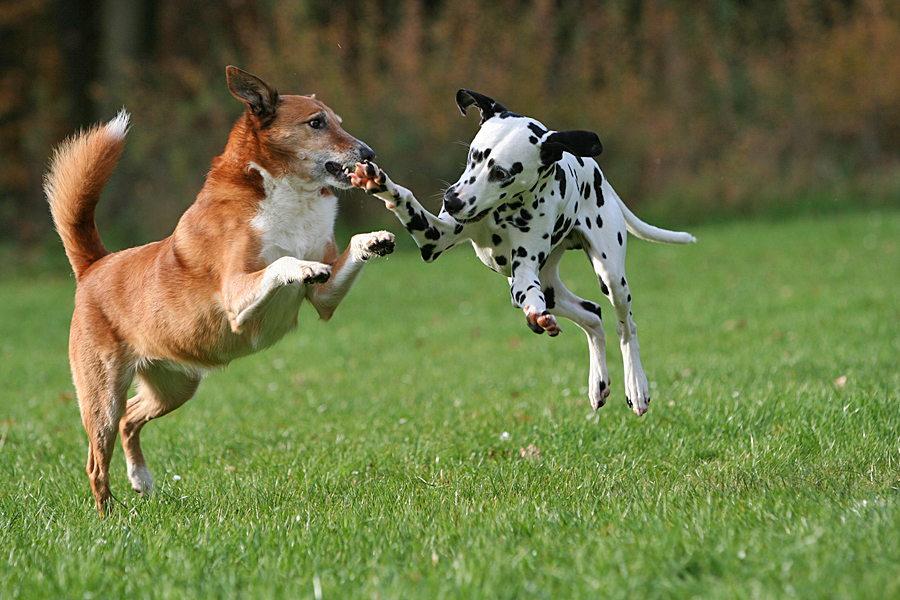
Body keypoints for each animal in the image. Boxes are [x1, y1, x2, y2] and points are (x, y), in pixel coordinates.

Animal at [44, 68, 392, 512]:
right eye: (316, 122)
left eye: (339, 121)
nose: (370, 154)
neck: (289, 197)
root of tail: (94, 266)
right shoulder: (235, 294)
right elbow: (282, 263)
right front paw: (303, 266)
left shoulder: (324, 297)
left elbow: (340, 262)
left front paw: (375, 239)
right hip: (102, 395)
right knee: (95, 462)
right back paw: (111, 520)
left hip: (174, 387)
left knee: (130, 419)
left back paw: (142, 480)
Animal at [354, 90, 696, 418]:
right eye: (473, 156)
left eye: (502, 173)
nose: (452, 200)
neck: (503, 210)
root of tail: (598, 172)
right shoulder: (434, 239)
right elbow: (407, 200)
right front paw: (378, 183)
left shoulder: (524, 275)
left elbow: (532, 297)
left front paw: (535, 315)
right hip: (553, 290)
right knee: (593, 314)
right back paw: (598, 382)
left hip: (611, 278)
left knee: (626, 327)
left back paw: (636, 386)